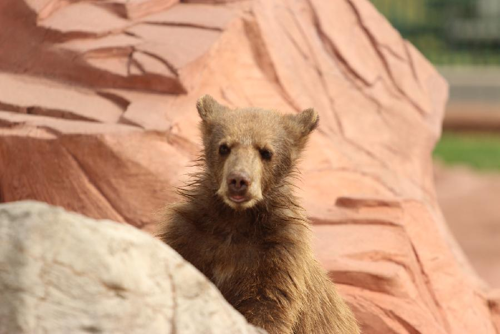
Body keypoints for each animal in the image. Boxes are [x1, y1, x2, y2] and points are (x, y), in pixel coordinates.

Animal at [159, 95, 360, 332]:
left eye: (266, 152)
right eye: (224, 147)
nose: (238, 180)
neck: (236, 221)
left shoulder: (278, 256)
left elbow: (268, 306)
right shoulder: (190, 236)